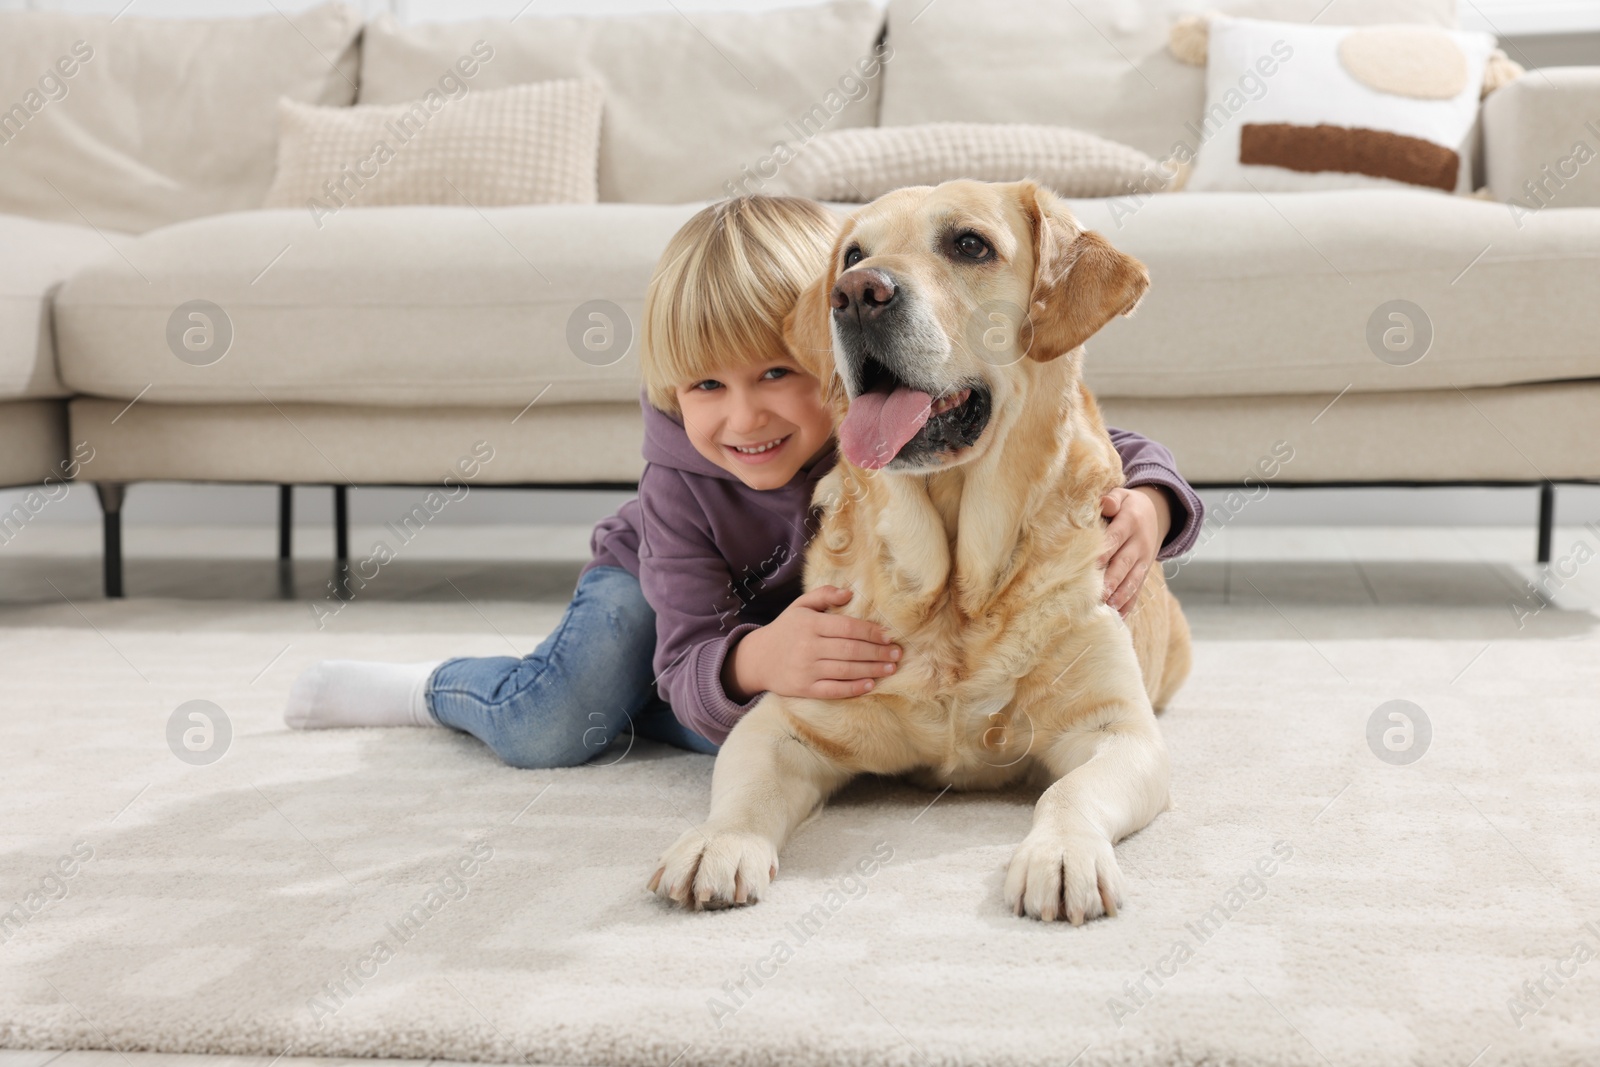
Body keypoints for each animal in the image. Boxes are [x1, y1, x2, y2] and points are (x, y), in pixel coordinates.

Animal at [649, 179, 1190, 921]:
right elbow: (745, 790)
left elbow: (1069, 790)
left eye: (970, 244)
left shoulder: (1118, 729)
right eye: (853, 254)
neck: (955, 593)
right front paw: (718, 842)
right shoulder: (783, 718)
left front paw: (1061, 854)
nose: (855, 294)